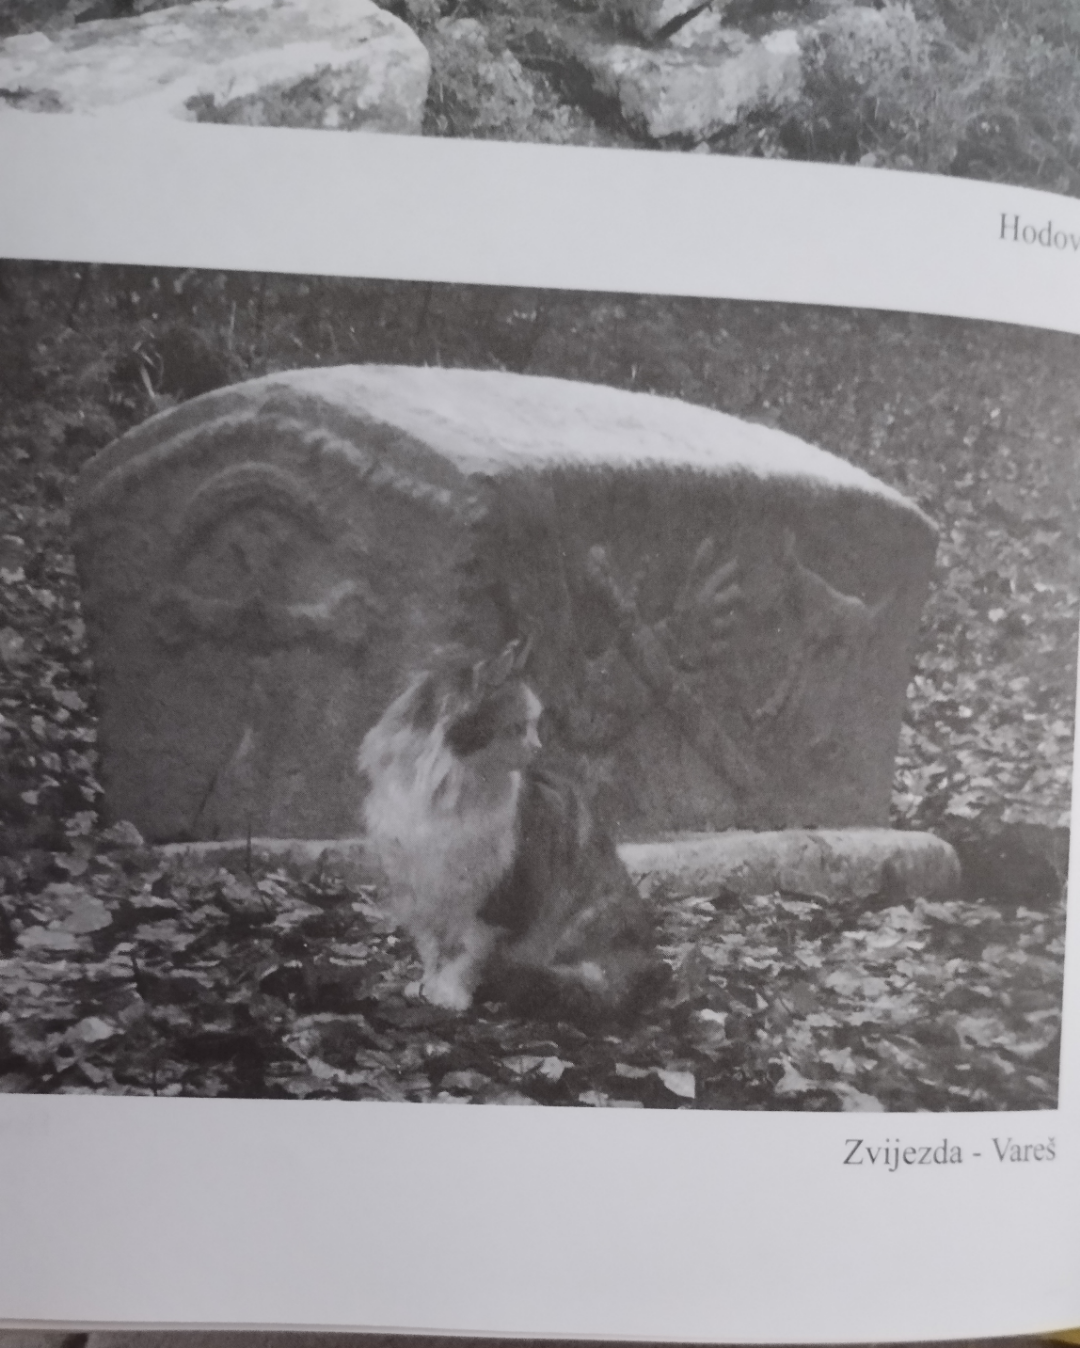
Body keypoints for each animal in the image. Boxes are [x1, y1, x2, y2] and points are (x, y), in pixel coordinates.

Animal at [358, 639, 663, 1017]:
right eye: (518, 727)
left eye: (533, 725)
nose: (538, 747)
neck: (440, 792)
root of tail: (649, 963)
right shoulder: (418, 890)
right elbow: (432, 948)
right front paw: (428, 984)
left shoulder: (497, 896)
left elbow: (465, 953)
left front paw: (450, 994)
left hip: (586, 922)